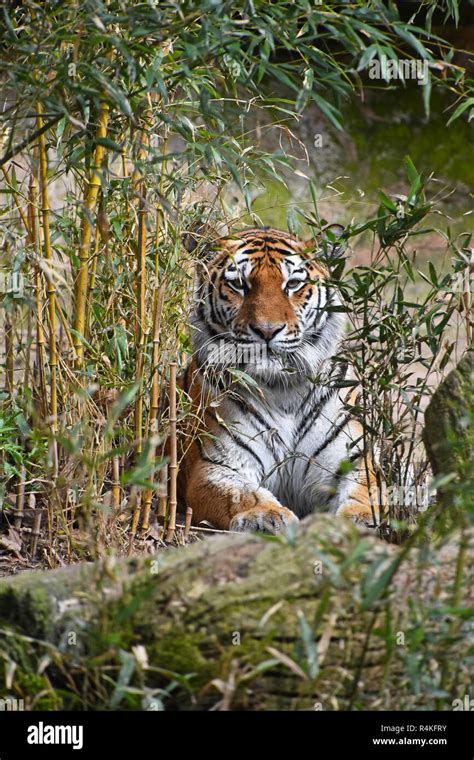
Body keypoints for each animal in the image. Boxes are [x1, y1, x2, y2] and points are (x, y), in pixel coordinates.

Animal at [176, 226, 380, 536]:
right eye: (239, 284)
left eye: (293, 283)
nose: (267, 330)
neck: (282, 389)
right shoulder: (217, 465)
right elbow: (243, 493)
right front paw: (265, 514)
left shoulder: (350, 458)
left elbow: (365, 489)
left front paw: (360, 518)